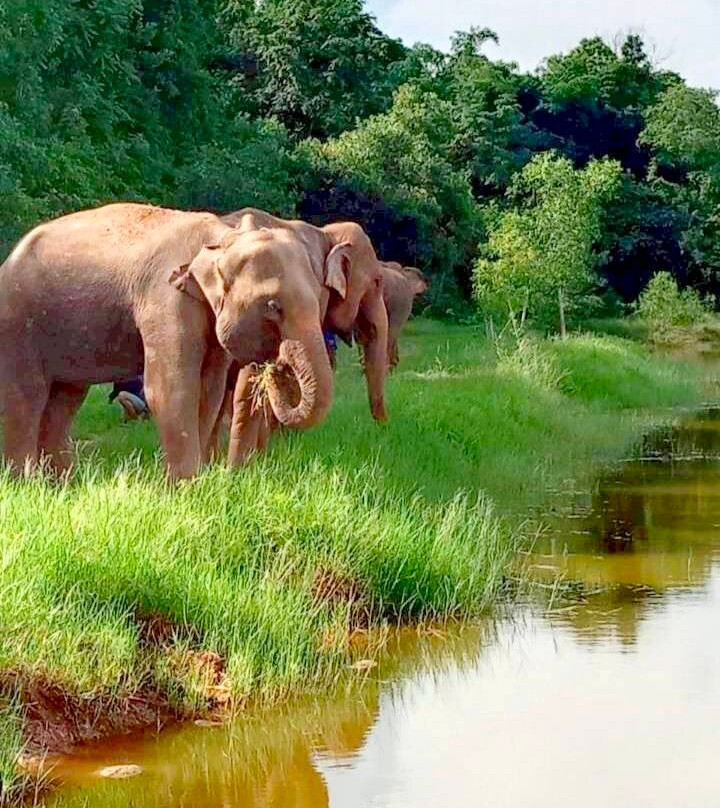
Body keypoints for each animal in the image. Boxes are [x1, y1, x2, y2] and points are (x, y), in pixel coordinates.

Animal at [0, 203, 336, 479]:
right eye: (272, 306)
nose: (275, 366)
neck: (221, 237)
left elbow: (210, 390)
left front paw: (199, 482)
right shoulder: (165, 299)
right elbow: (171, 386)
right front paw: (183, 488)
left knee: (64, 399)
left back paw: (61, 485)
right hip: (17, 324)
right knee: (27, 396)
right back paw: (26, 484)